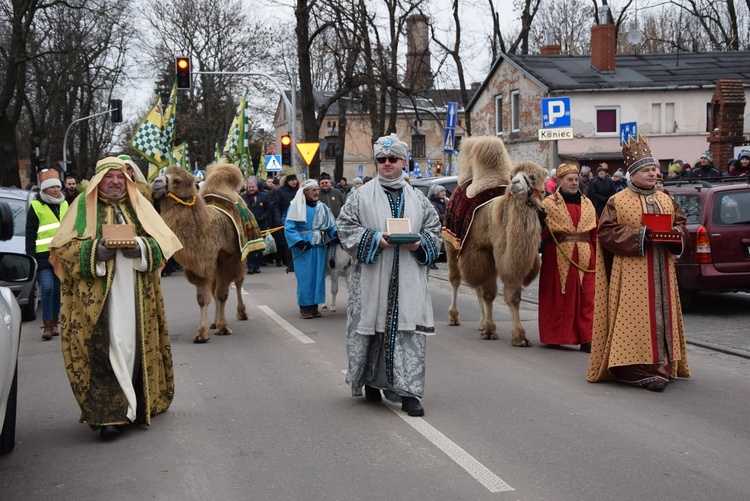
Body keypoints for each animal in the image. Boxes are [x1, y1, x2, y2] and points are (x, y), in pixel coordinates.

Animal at [152, 164, 250, 344]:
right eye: (163, 173)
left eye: (177, 180)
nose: (156, 182)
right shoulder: (201, 263)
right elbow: (204, 297)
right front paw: (203, 333)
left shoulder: (229, 259)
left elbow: (222, 294)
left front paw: (223, 328)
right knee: (215, 289)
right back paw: (214, 322)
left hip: (242, 255)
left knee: (238, 282)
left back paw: (241, 313)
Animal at [446, 137, 548, 348]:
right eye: (513, 175)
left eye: (533, 177)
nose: (515, 184)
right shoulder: (483, 250)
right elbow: (489, 293)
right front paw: (490, 330)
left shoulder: (505, 257)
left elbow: (513, 296)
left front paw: (519, 336)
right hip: (451, 243)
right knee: (456, 279)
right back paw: (454, 317)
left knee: (476, 287)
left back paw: (480, 322)